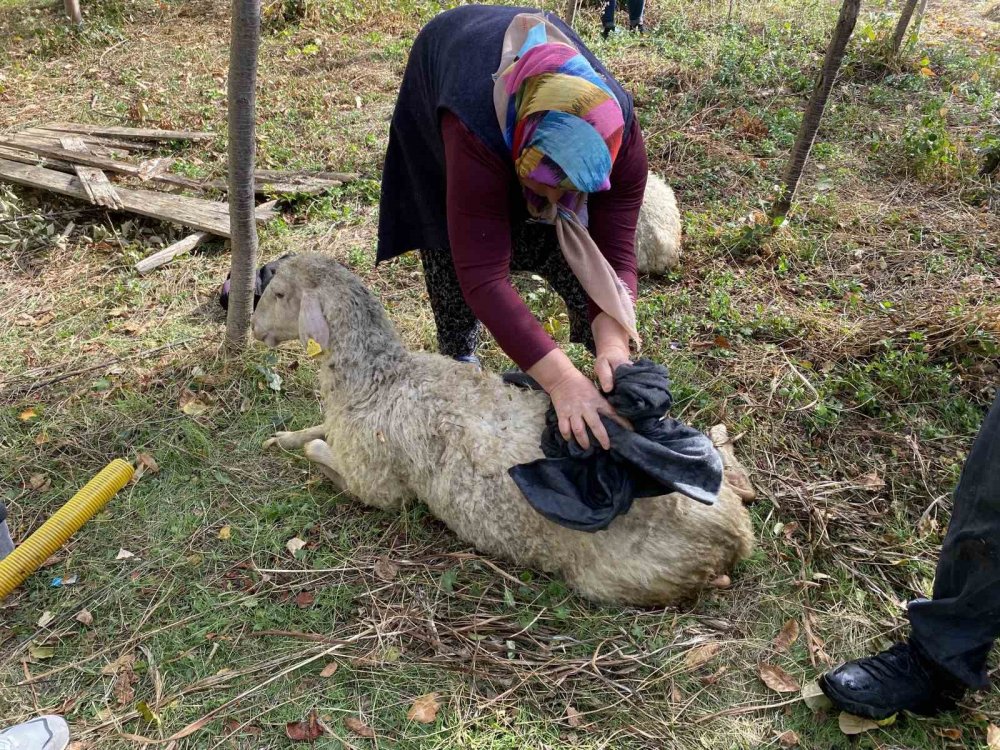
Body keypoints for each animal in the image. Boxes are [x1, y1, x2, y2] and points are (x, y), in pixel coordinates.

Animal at [250, 256, 752, 608]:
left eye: (278, 293)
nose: (254, 330)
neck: (380, 379)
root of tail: (734, 538)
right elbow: (315, 430)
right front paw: (281, 439)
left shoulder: (375, 484)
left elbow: (321, 450)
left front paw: (299, 447)